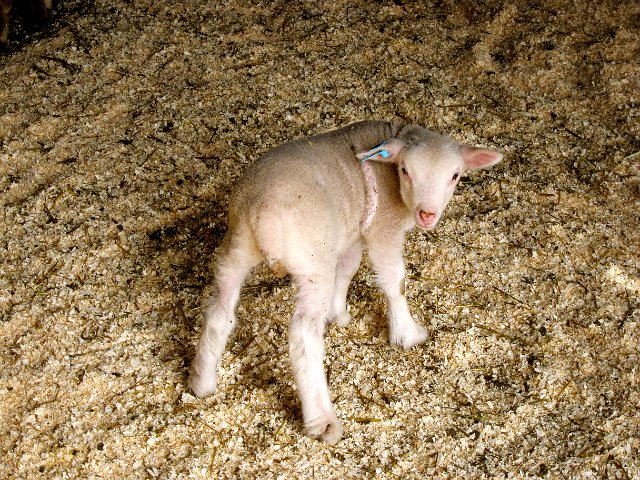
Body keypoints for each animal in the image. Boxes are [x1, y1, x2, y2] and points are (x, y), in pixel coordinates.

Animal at [188, 120, 503, 443]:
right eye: (405, 170)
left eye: (455, 175)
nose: (427, 214)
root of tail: (263, 217)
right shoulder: (383, 230)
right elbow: (395, 281)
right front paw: (407, 334)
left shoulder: (353, 231)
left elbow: (348, 268)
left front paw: (337, 313)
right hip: (313, 264)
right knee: (303, 336)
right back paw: (323, 420)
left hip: (237, 246)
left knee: (219, 314)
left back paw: (202, 383)